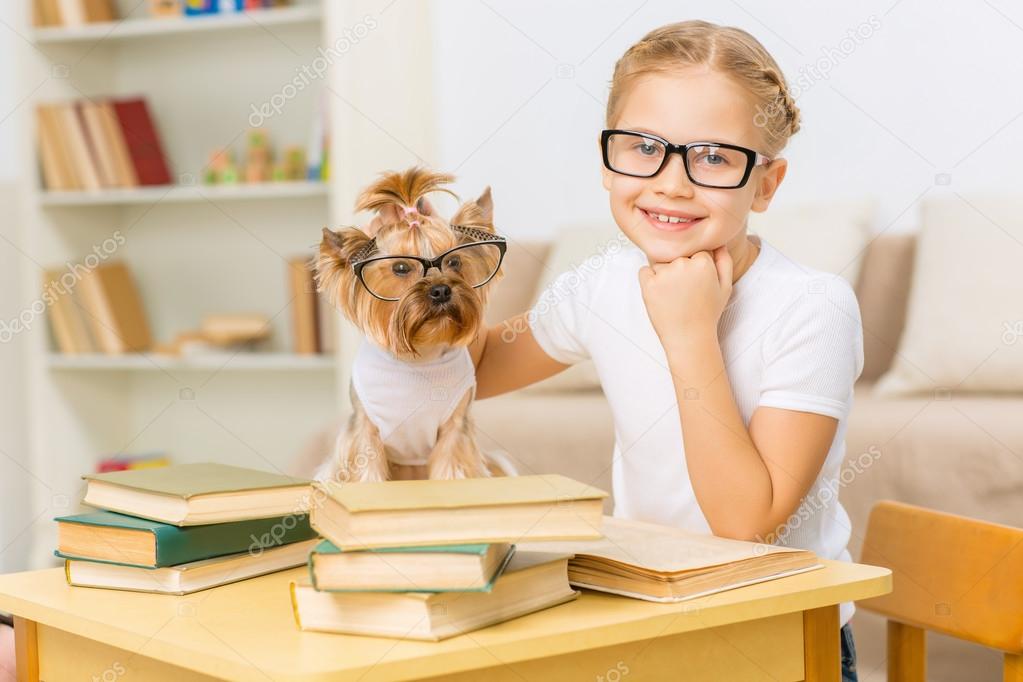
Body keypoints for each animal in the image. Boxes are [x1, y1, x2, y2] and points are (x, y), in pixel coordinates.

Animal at [315, 167, 515, 482]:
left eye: (454, 261)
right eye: (400, 267)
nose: (441, 290)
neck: (421, 355)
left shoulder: (455, 429)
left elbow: (452, 468)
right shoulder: (364, 431)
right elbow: (366, 472)